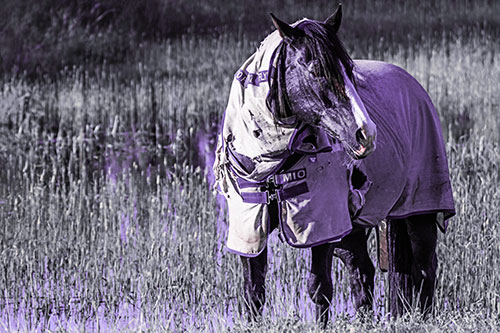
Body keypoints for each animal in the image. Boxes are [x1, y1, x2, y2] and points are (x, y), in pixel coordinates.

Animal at [213, 4, 456, 326]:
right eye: (317, 70)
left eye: (350, 70)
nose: (366, 133)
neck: (274, 162)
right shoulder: (251, 226)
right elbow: (254, 292)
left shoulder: (322, 226)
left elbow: (319, 288)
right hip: (352, 230)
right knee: (362, 271)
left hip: (419, 212)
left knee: (426, 267)